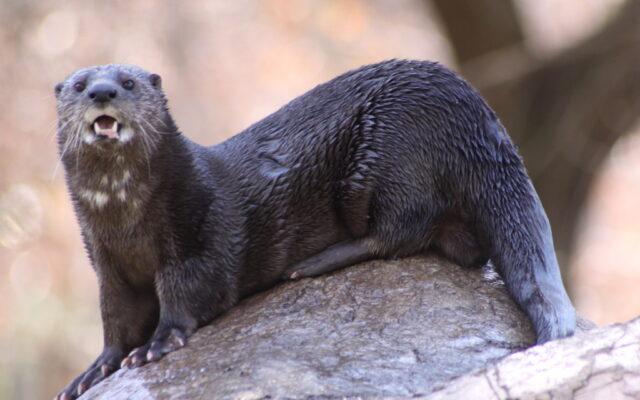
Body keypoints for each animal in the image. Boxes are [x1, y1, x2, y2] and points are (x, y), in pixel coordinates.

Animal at [53, 60, 575, 399]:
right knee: (463, 247)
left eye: (127, 82)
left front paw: (158, 343)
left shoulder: (197, 237)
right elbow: (117, 318)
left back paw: (316, 263)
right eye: (79, 85)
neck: (128, 224)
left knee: (403, 229)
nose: (102, 93)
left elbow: (192, 293)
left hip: (390, 151)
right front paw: (95, 369)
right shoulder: (109, 267)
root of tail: (480, 118)